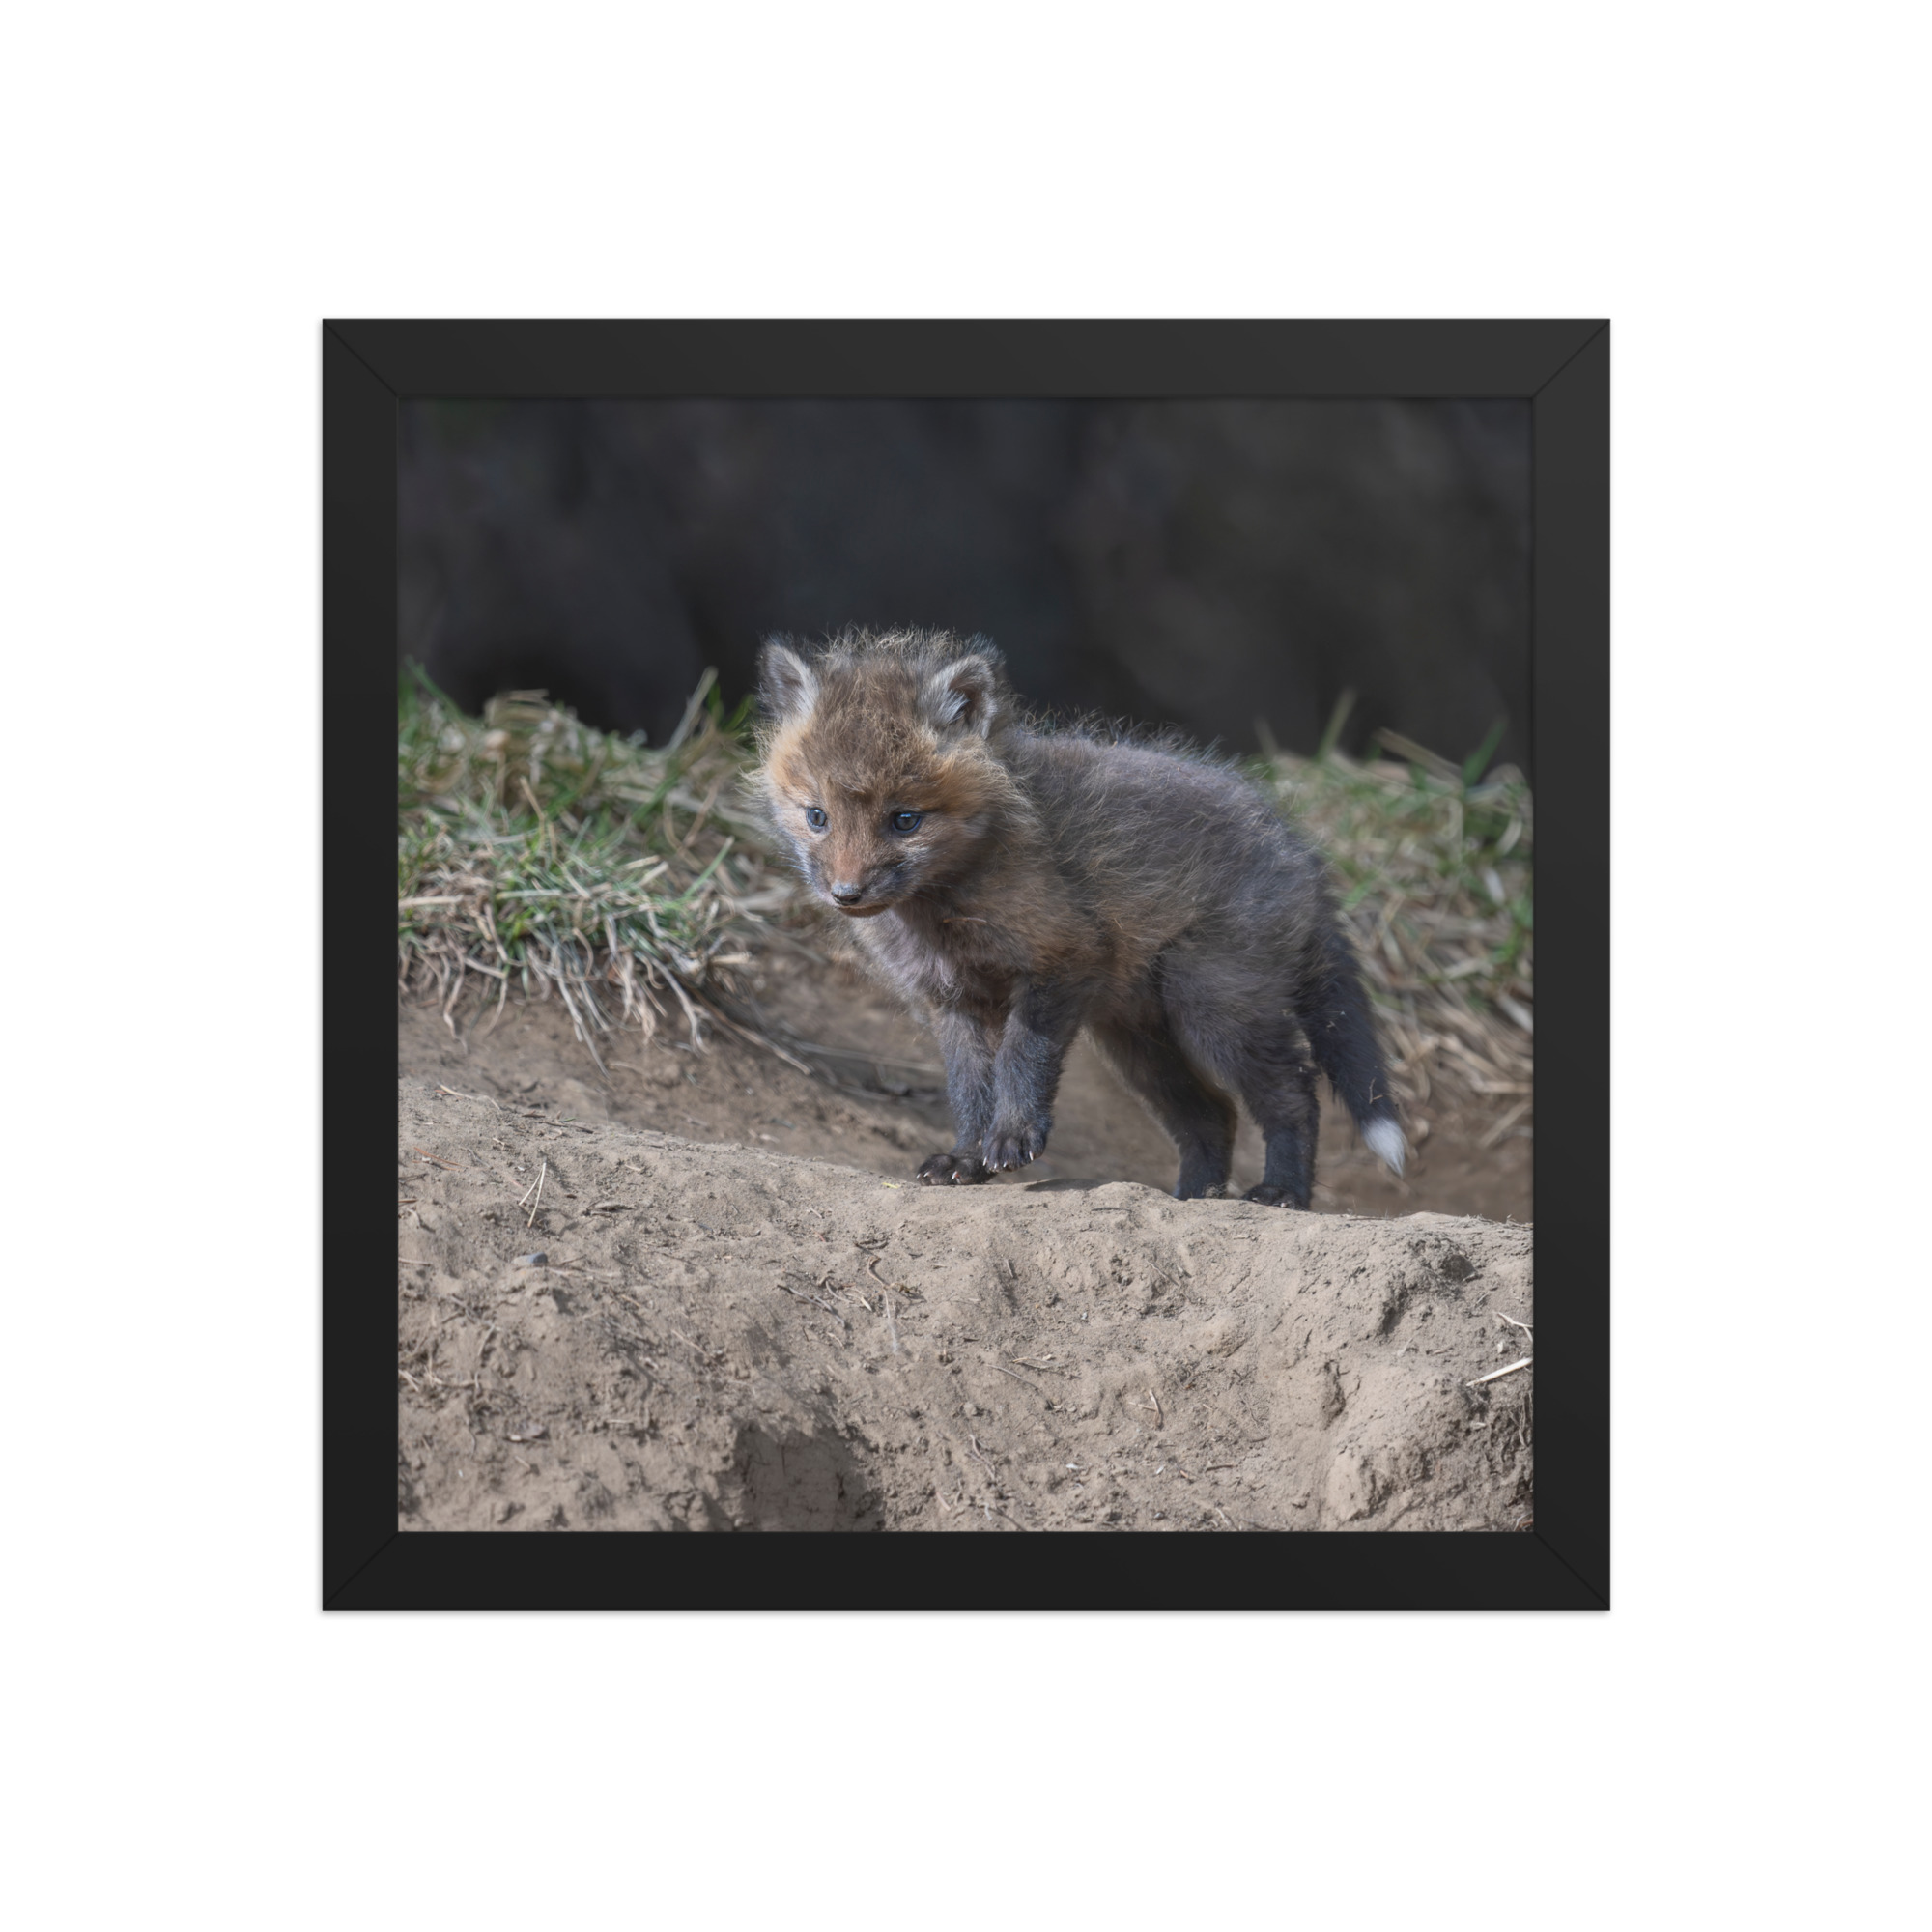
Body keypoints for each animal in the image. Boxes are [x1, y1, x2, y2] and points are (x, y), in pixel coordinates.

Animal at [752, 628, 1404, 1207]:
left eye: (905, 820)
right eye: (817, 816)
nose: (846, 894)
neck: (944, 912)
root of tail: (1301, 851)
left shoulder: (1063, 958)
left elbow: (1021, 1059)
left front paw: (1013, 1137)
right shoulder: (953, 1000)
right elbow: (969, 1089)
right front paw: (966, 1158)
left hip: (1214, 1008)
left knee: (1294, 1094)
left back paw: (1282, 1192)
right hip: (1138, 1041)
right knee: (1212, 1115)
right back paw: (1194, 1198)